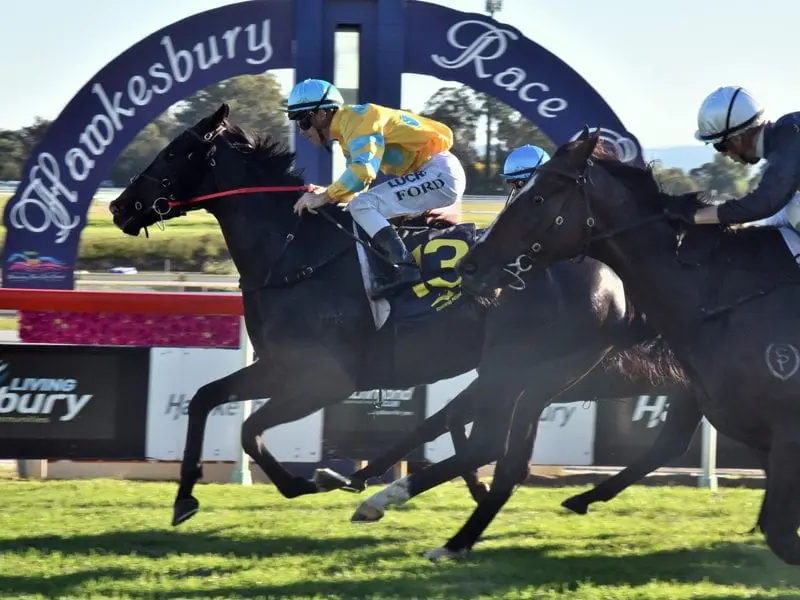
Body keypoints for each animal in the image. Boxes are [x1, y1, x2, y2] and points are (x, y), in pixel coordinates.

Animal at [106, 103, 700, 536]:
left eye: (175, 152)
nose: (118, 207)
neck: (296, 252)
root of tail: (610, 274)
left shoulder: (324, 378)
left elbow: (251, 430)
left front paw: (302, 485)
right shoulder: (277, 366)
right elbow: (205, 399)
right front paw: (185, 497)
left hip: (528, 367)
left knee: (492, 442)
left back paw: (381, 489)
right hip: (521, 371)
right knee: (470, 432)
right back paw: (382, 484)